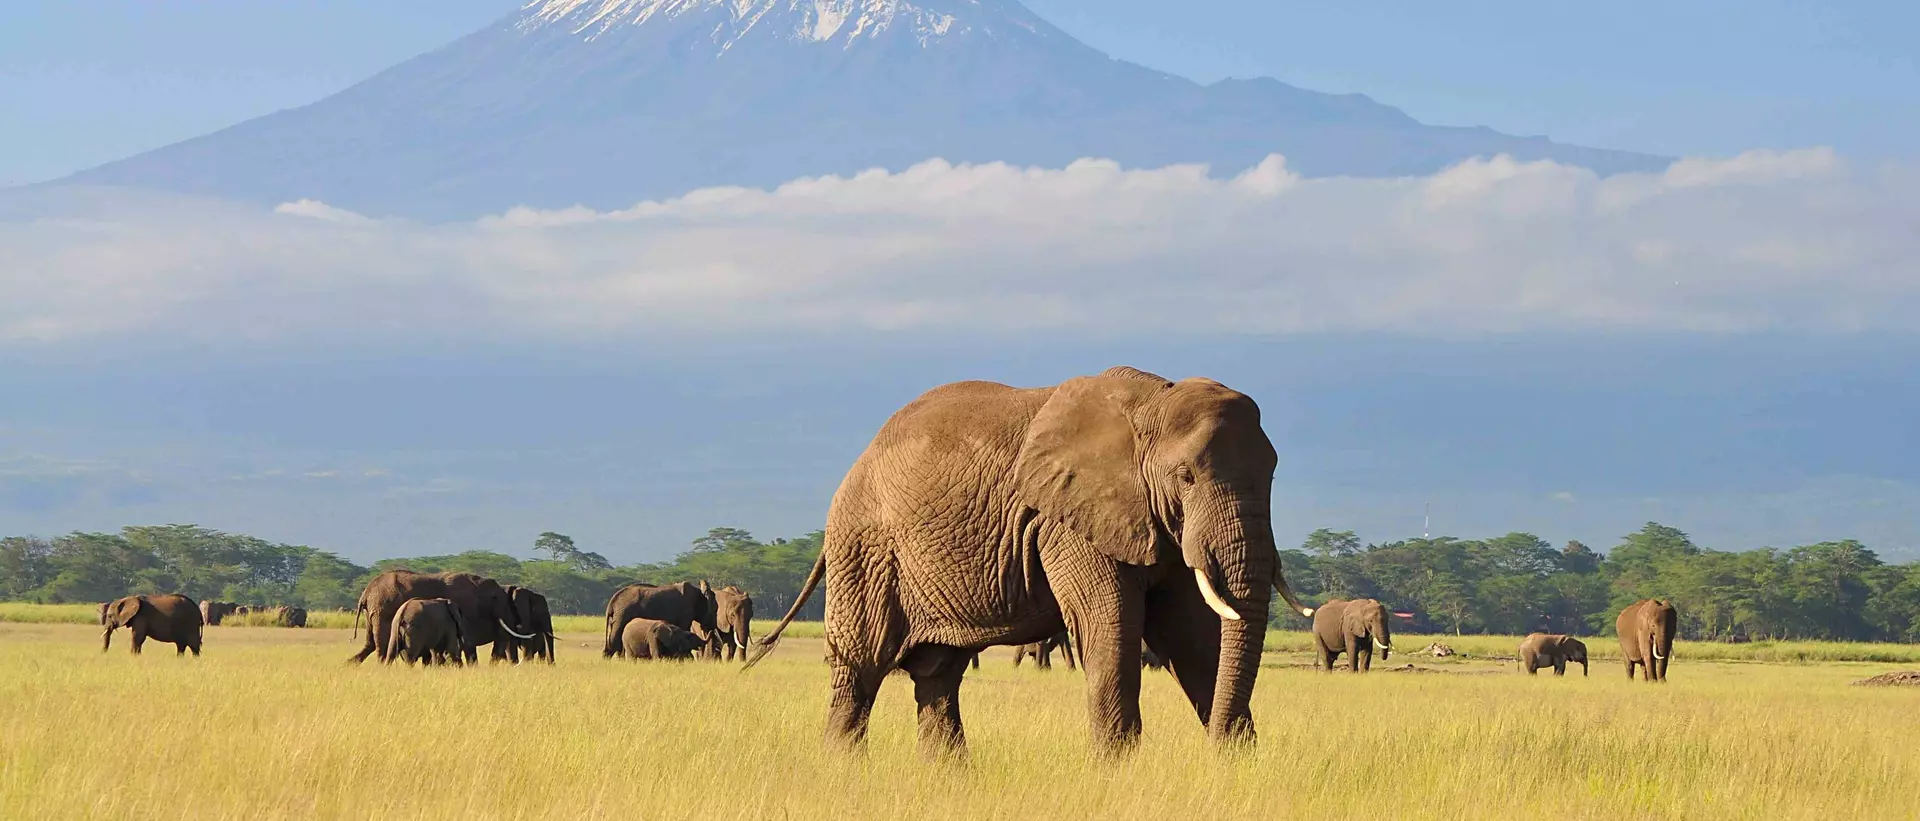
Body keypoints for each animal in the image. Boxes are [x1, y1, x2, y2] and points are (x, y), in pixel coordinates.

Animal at [350, 570, 536, 664]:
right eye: (495, 598)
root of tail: (365, 593)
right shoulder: (465, 607)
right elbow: (467, 642)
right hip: (383, 610)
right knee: (381, 645)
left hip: (374, 612)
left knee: (371, 644)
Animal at [749, 367, 1316, 756]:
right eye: (1186, 476)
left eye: (1271, 472)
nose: (1216, 746)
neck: (1153, 401)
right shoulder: (1067, 522)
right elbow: (1110, 626)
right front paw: (1118, 771)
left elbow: (1194, 636)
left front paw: (1236, 761)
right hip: (866, 550)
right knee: (860, 670)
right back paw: (843, 768)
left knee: (937, 677)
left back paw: (951, 779)